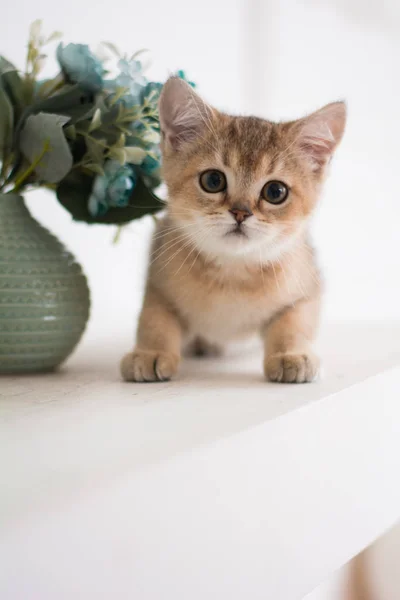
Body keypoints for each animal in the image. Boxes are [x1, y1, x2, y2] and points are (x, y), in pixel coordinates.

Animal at [120, 77, 346, 384]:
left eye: (275, 192)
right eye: (213, 180)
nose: (241, 213)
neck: (232, 272)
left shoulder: (307, 286)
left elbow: (293, 321)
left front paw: (290, 354)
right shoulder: (157, 283)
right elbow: (154, 319)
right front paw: (150, 352)